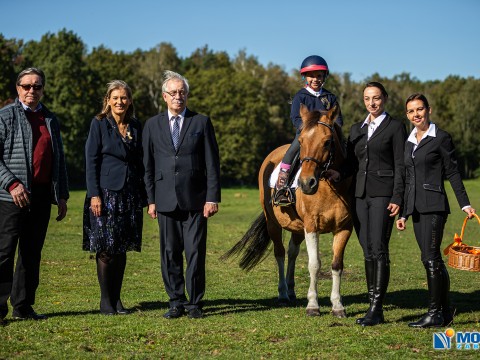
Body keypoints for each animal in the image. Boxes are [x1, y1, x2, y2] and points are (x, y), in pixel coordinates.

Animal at [224, 105, 352, 318]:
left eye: (327, 142)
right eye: (301, 141)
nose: (306, 183)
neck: (329, 188)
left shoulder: (344, 228)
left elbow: (336, 265)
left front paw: (337, 306)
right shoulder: (311, 226)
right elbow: (314, 264)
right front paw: (313, 305)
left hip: (298, 227)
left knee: (292, 252)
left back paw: (291, 291)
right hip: (273, 224)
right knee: (280, 253)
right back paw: (283, 293)